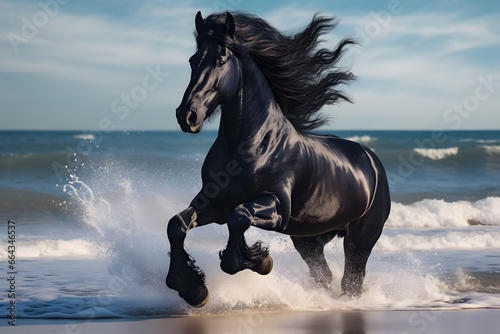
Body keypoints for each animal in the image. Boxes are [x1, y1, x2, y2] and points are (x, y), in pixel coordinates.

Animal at [167, 11, 390, 308]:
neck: (253, 145)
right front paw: (192, 289)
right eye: (193, 60)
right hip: (308, 240)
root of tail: (371, 159)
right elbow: (177, 225)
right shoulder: (214, 203)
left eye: (220, 61)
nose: (187, 116)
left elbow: (239, 219)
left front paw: (261, 261)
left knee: (351, 281)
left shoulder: (278, 207)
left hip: (360, 238)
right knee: (324, 276)